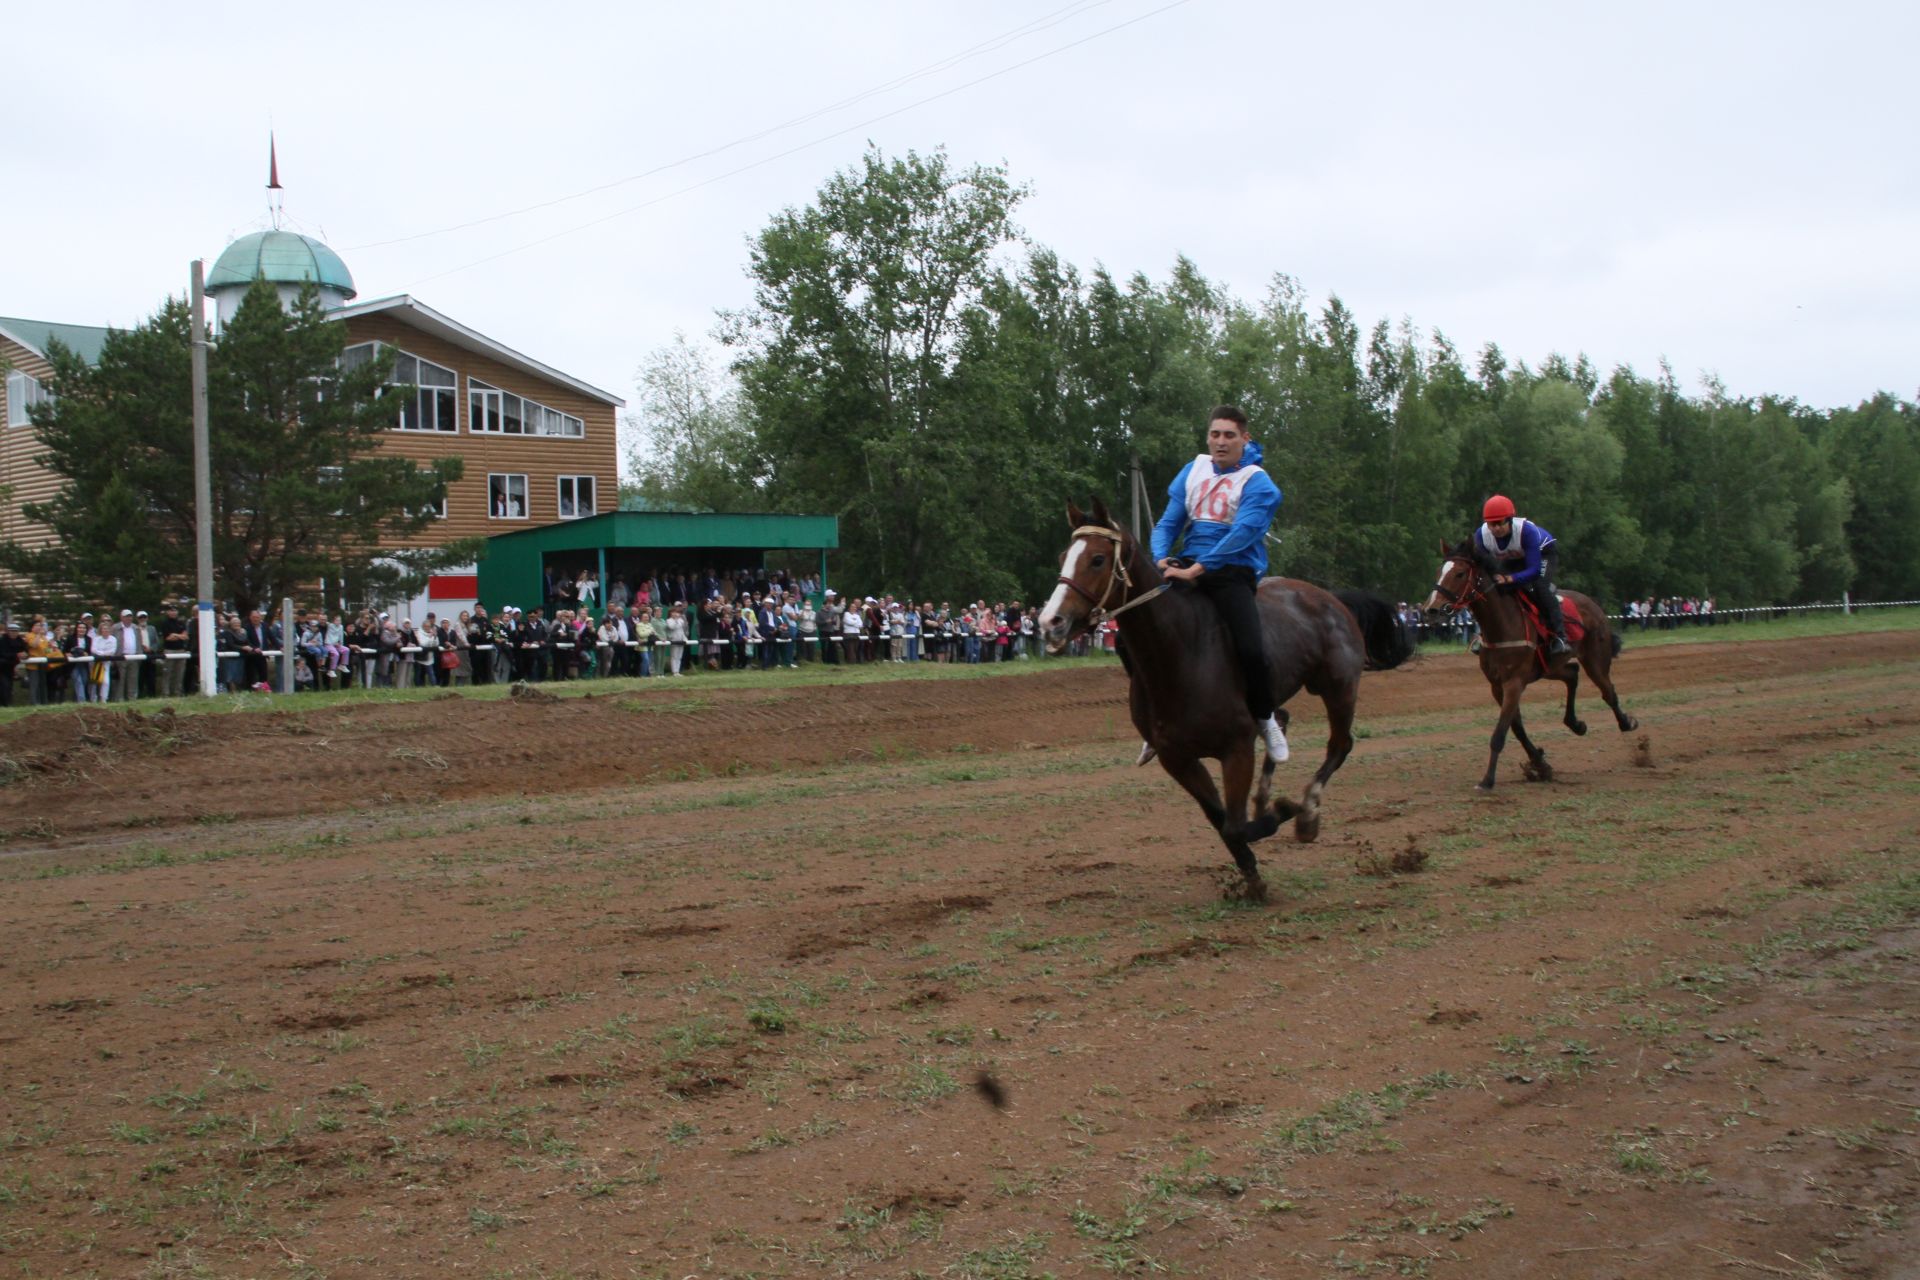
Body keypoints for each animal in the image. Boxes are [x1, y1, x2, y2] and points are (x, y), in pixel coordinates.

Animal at [1036, 498, 1413, 901]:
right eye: (1064, 555)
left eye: (1097, 559)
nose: (1050, 621)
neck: (1180, 653)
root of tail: (1331, 599)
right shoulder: (1177, 759)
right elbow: (1220, 821)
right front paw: (1251, 872)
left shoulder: (1237, 749)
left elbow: (1234, 825)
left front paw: (1282, 813)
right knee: (1281, 718)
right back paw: (1266, 794)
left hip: (1338, 688)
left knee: (1339, 746)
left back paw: (1307, 812)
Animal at [1420, 541, 1643, 790]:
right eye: (1439, 572)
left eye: (1459, 573)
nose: (1431, 610)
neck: (1501, 625)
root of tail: (1594, 605)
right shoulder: (1497, 685)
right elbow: (1516, 727)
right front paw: (1539, 763)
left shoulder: (1514, 682)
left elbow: (1500, 733)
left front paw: (1487, 780)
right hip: (1549, 667)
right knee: (1572, 674)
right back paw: (1575, 723)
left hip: (1595, 659)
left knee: (1608, 691)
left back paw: (1626, 723)